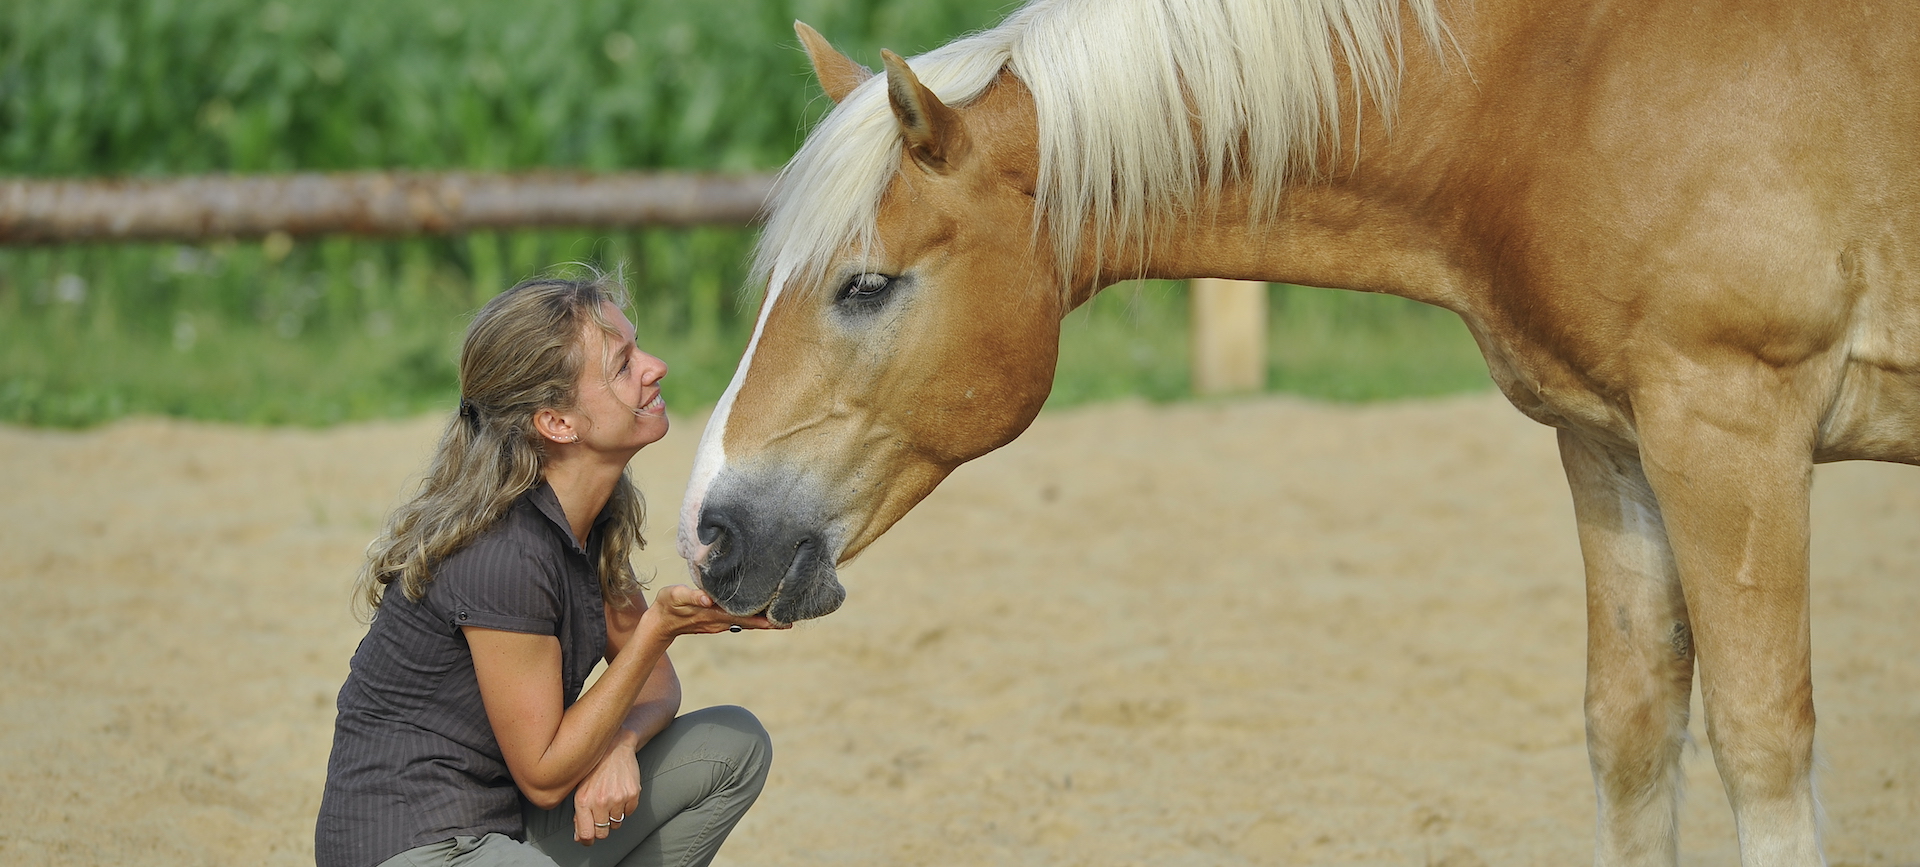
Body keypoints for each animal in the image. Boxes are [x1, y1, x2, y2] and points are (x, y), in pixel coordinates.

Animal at [676, 1, 1920, 863]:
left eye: (866, 285)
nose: (713, 530)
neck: (1557, 81)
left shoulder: (1732, 431)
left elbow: (1763, 751)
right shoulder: (1613, 446)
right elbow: (1631, 739)